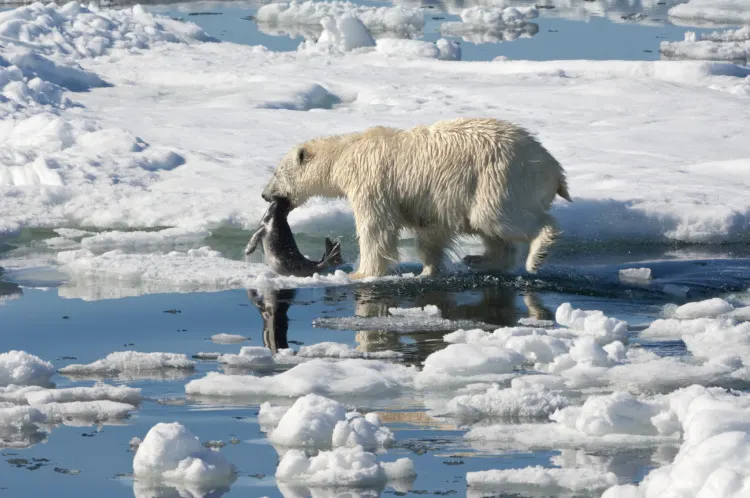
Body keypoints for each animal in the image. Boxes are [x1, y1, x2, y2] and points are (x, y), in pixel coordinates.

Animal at [262, 117, 572, 280]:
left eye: (276, 172)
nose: (265, 194)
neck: (345, 154)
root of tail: (553, 168)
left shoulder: (372, 182)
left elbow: (376, 228)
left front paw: (360, 274)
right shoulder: (430, 199)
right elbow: (431, 232)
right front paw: (427, 270)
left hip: (500, 178)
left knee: (499, 217)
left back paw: (536, 255)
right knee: (490, 229)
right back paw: (478, 260)